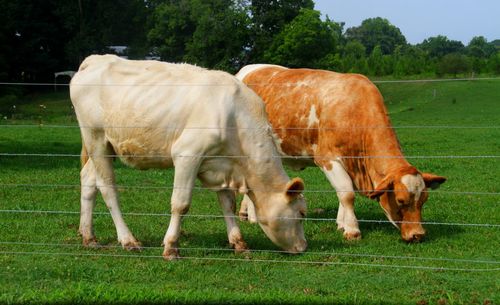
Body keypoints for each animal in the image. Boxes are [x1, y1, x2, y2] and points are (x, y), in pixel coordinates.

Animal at [68, 55, 306, 258]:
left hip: (106, 145)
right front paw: (171, 247)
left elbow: (227, 204)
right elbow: (181, 204)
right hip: (96, 138)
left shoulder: (223, 165)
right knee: (107, 187)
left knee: (88, 180)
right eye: (302, 214)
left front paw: (238, 242)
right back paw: (128, 240)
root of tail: (96, 59)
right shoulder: (187, 154)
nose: (303, 247)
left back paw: (88, 236)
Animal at [236, 64, 448, 242]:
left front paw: (341, 223)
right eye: (400, 200)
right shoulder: (328, 159)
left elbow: (343, 193)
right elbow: (347, 194)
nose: (417, 234)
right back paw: (253, 217)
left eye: (424, 200)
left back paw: (246, 213)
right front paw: (352, 230)